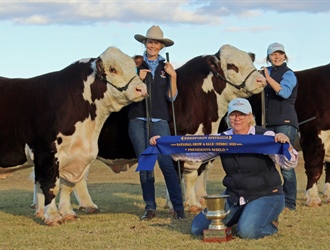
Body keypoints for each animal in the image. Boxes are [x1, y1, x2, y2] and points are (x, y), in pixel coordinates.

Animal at [0, 46, 147, 225]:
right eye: (112, 69)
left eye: (134, 67)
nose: (142, 89)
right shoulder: (45, 152)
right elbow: (51, 184)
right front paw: (53, 216)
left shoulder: (74, 157)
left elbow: (67, 186)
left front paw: (68, 213)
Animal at [57, 44, 266, 213]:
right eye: (231, 66)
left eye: (250, 60)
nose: (260, 80)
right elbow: (178, 175)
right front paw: (178, 204)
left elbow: (192, 175)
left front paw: (192, 203)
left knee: (79, 175)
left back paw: (88, 205)